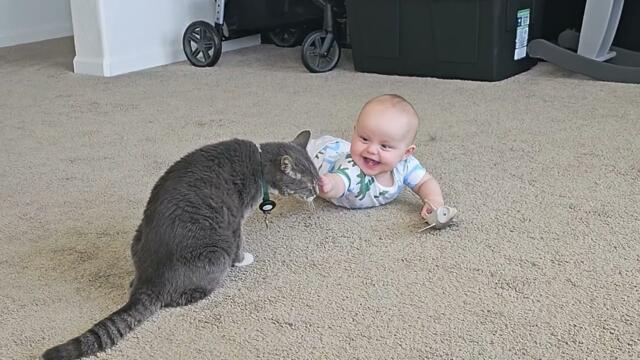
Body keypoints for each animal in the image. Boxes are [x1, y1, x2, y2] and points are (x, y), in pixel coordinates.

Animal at [42, 131, 320, 358]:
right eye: (309, 185)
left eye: (317, 180)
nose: (317, 192)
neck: (260, 163)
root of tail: (148, 283)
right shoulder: (235, 219)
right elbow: (239, 242)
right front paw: (244, 260)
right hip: (216, 254)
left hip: (138, 237)